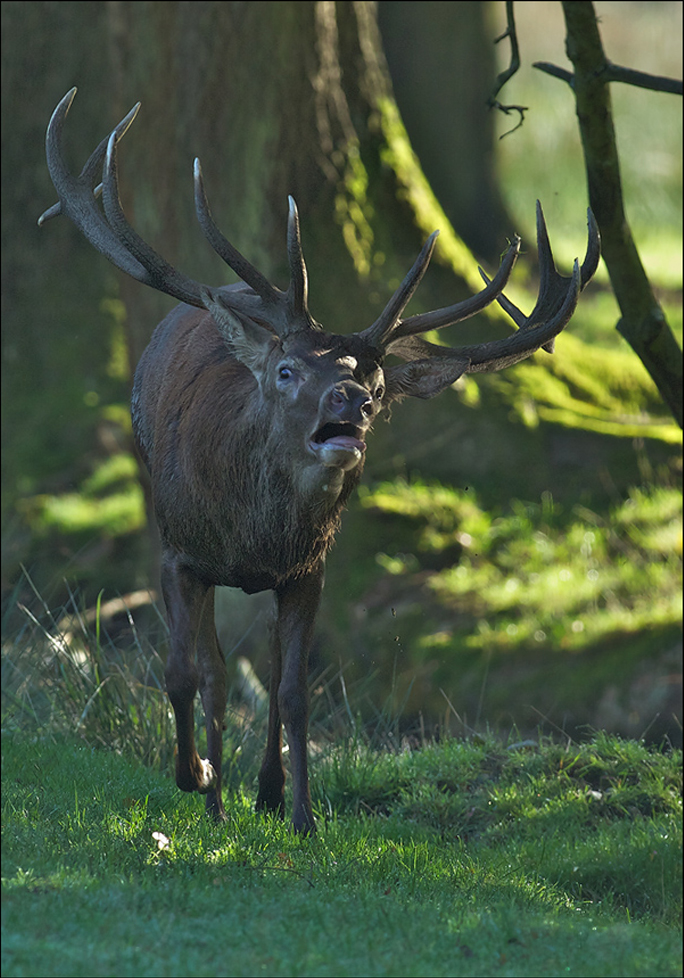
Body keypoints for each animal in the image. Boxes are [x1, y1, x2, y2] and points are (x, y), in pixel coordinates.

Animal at [39, 89, 599, 834]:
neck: (253, 535)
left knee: (266, 671)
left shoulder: (308, 569)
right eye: (286, 370)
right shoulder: (179, 551)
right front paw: (197, 777)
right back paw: (216, 797)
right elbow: (186, 673)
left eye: (381, 384)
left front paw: (299, 813)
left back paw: (264, 793)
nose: (352, 398)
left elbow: (294, 690)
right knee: (213, 671)